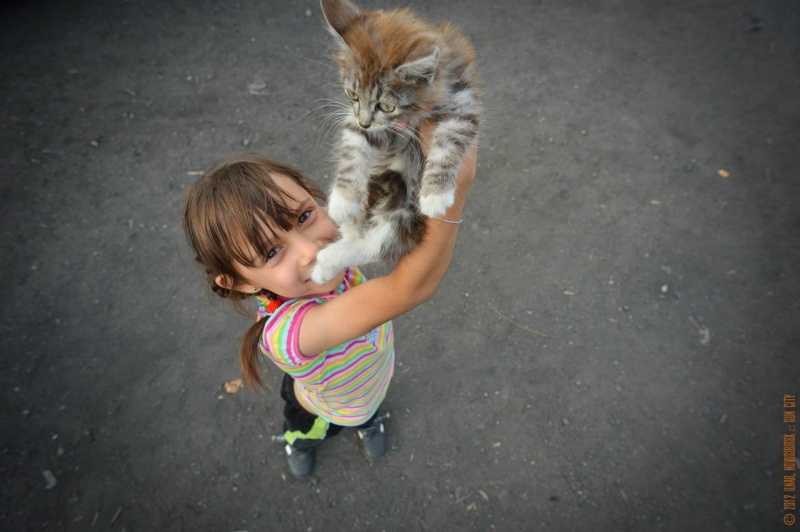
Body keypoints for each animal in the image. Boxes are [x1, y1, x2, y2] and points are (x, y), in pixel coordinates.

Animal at [311, 0, 482, 284]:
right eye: (352, 95)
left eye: (387, 105)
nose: (365, 122)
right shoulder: (358, 120)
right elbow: (353, 147)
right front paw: (343, 199)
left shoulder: (463, 103)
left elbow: (448, 141)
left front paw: (436, 194)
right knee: (356, 232)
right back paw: (326, 263)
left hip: (404, 216)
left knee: (377, 245)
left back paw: (328, 258)